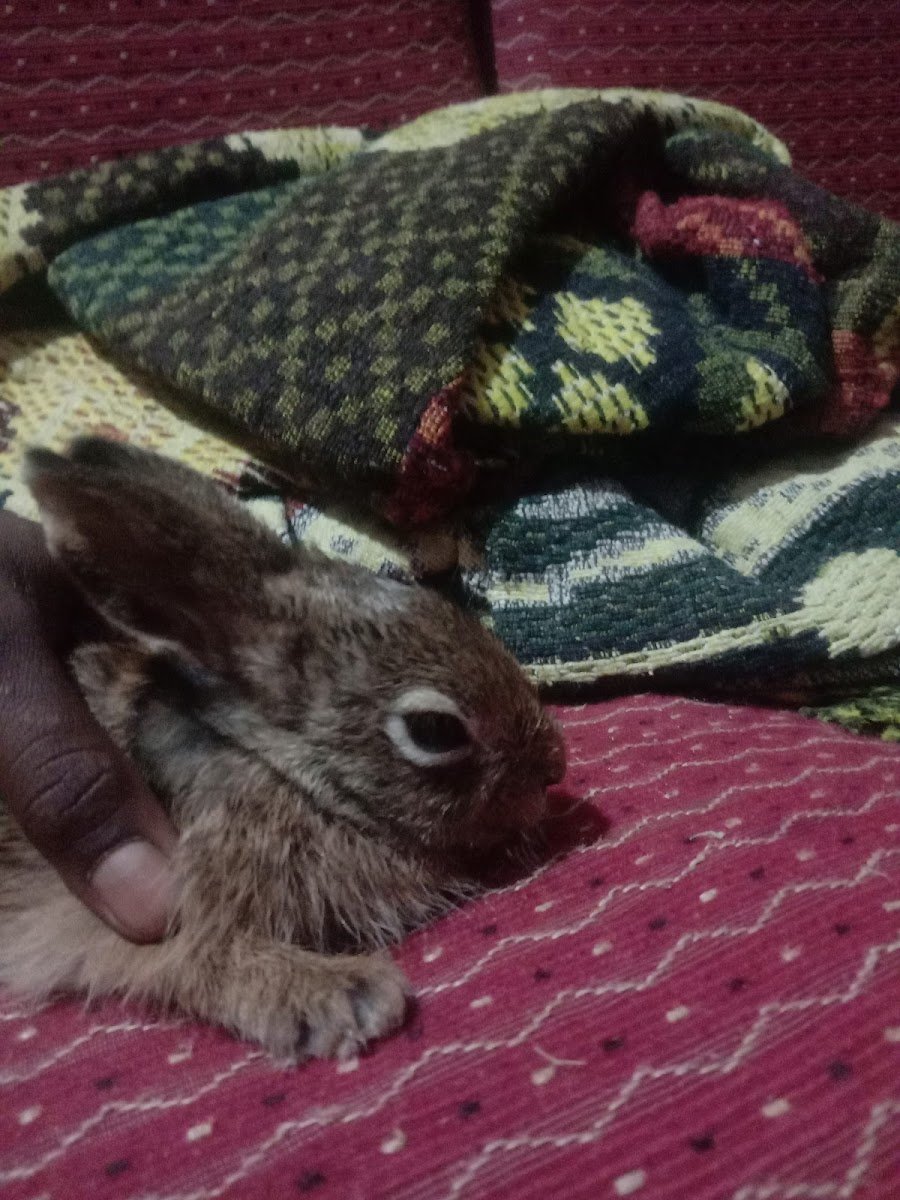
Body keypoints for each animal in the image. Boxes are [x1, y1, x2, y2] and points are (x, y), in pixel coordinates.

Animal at [0, 438, 566, 1060]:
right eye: (435, 731)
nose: (554, 767)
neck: (278, 765)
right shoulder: (174, 914)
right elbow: (208, 963)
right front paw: (347, 996)